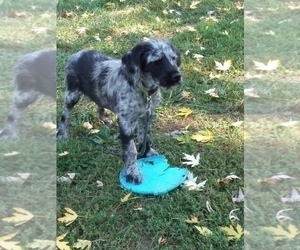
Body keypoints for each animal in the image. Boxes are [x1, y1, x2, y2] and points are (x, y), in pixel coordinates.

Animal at [57, 38, 182, 184]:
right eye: (157, 62)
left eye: (173, 58)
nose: (177, 76)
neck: (144, 91)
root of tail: (77, 54)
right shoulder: (126, 121)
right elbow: (131, 150)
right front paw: (132, 172)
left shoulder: (146, 115)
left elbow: (145, 136)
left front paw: (147, 152)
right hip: (72, 94)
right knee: (65, 115)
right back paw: (62, 134)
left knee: (99, 102)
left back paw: (103, 118)